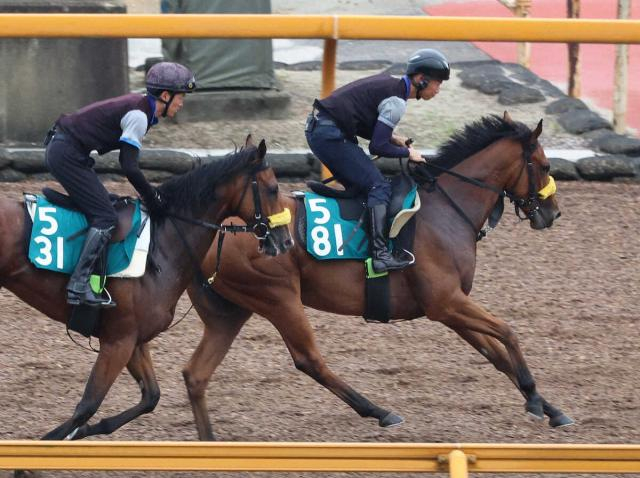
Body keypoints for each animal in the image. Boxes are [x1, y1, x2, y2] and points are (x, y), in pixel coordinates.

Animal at [0, 136, 292, 442]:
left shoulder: (133, 339)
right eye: (273, 189)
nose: (285, 241)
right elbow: (87, 405)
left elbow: (150, 396)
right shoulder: (117, 341)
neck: (162, 247)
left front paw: (87, 431)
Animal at [180, 113, 576, 440]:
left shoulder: (449, 307)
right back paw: (380, 412)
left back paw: (208, 440)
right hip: (278, 297)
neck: (446, 210)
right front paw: (535, 400)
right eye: (544, 165)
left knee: (196, 373)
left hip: (230, 311)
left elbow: (496, 355)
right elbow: (508, 333)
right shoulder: (446, 302)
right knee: (309, 359)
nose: (553, 213)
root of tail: (219, 229)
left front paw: (551, 408)